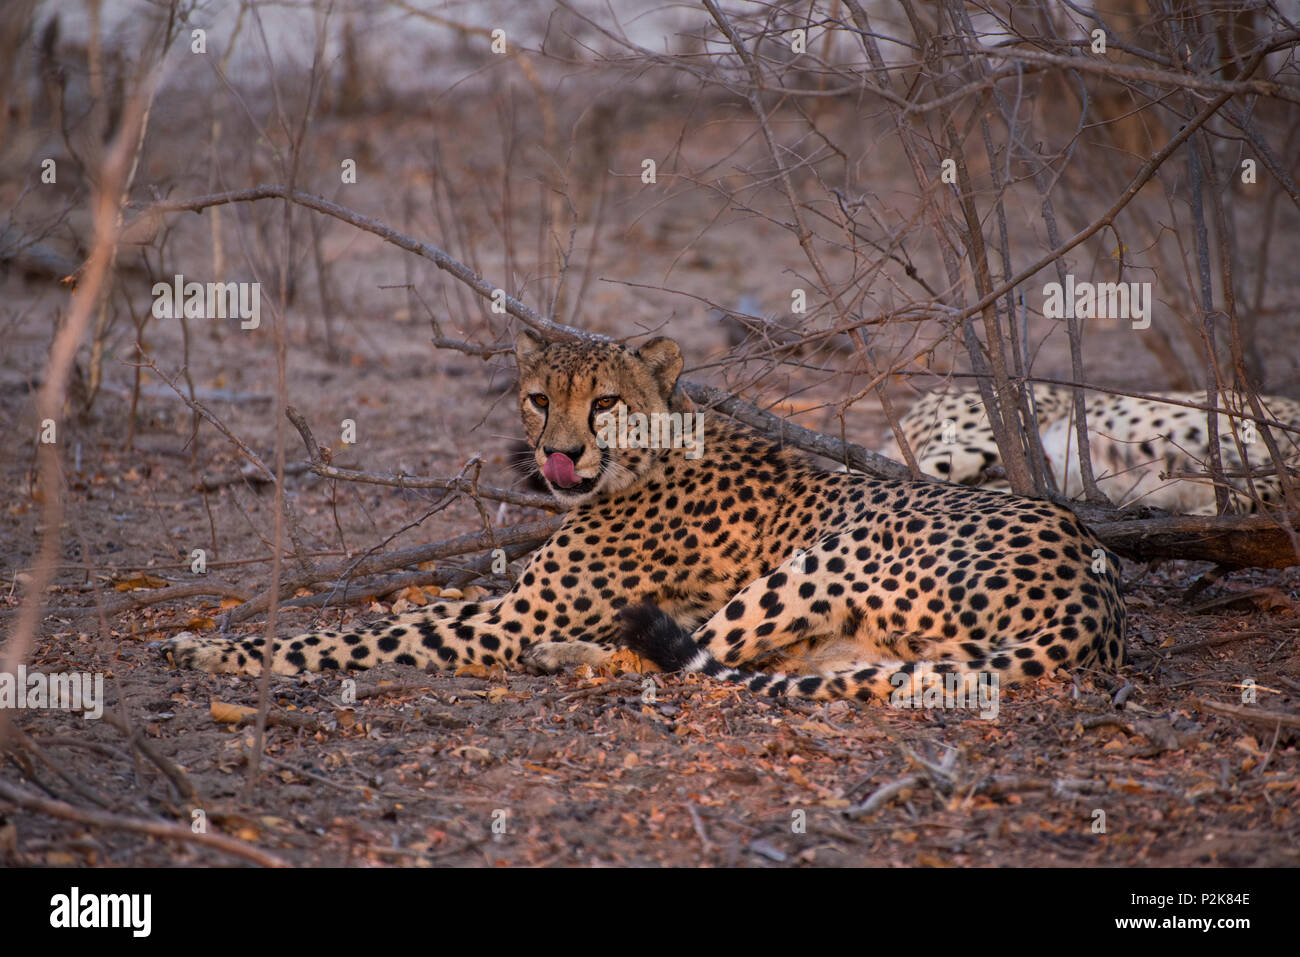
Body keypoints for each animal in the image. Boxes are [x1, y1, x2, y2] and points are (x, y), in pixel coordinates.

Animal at [157, 335, 1123, 702]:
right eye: (540, 398)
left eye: (607, 402)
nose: (561, 455)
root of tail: (1099, 589)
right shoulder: (511, 599)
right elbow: (401, 612)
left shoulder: (511, 615)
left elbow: (361, 636)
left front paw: (216, 651)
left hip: (819, 560)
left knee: (679, 659)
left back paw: (564, 657)